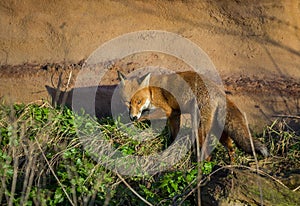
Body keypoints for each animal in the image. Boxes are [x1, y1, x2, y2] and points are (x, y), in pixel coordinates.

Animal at [117, 71, 270, 159]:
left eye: (138, 101)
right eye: (127, 102)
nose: (132, 116)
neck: (152, 91)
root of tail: (219, 91)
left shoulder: (166, 110)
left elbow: (145, 116)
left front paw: (131, 124)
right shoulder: (175, 114)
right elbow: (173, 134)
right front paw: (170, 146)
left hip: (200, 129)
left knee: (207, 155)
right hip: (217, 129)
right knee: (231, 148)